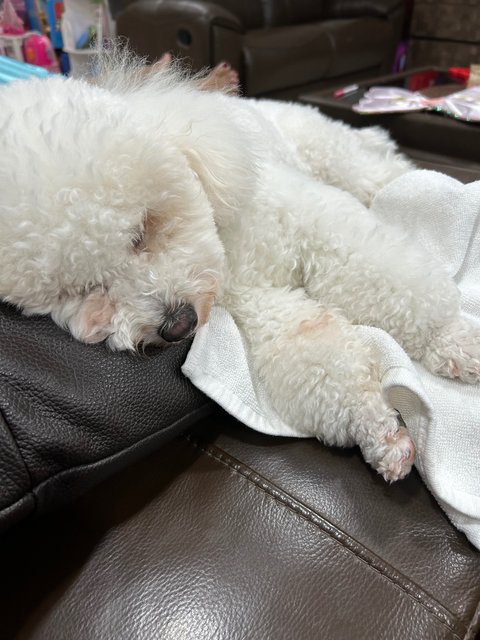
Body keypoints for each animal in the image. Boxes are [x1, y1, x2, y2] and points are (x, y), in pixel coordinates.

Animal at [1, 55, 478, 480]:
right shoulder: (256, 306)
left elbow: (392, 280)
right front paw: (379, 431)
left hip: (329, 152)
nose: (176, 325)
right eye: (78, 289)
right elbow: (315, 352)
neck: (229, 252)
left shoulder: (317, 226)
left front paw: (453, 342)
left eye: (142, 229)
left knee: (377, 172)